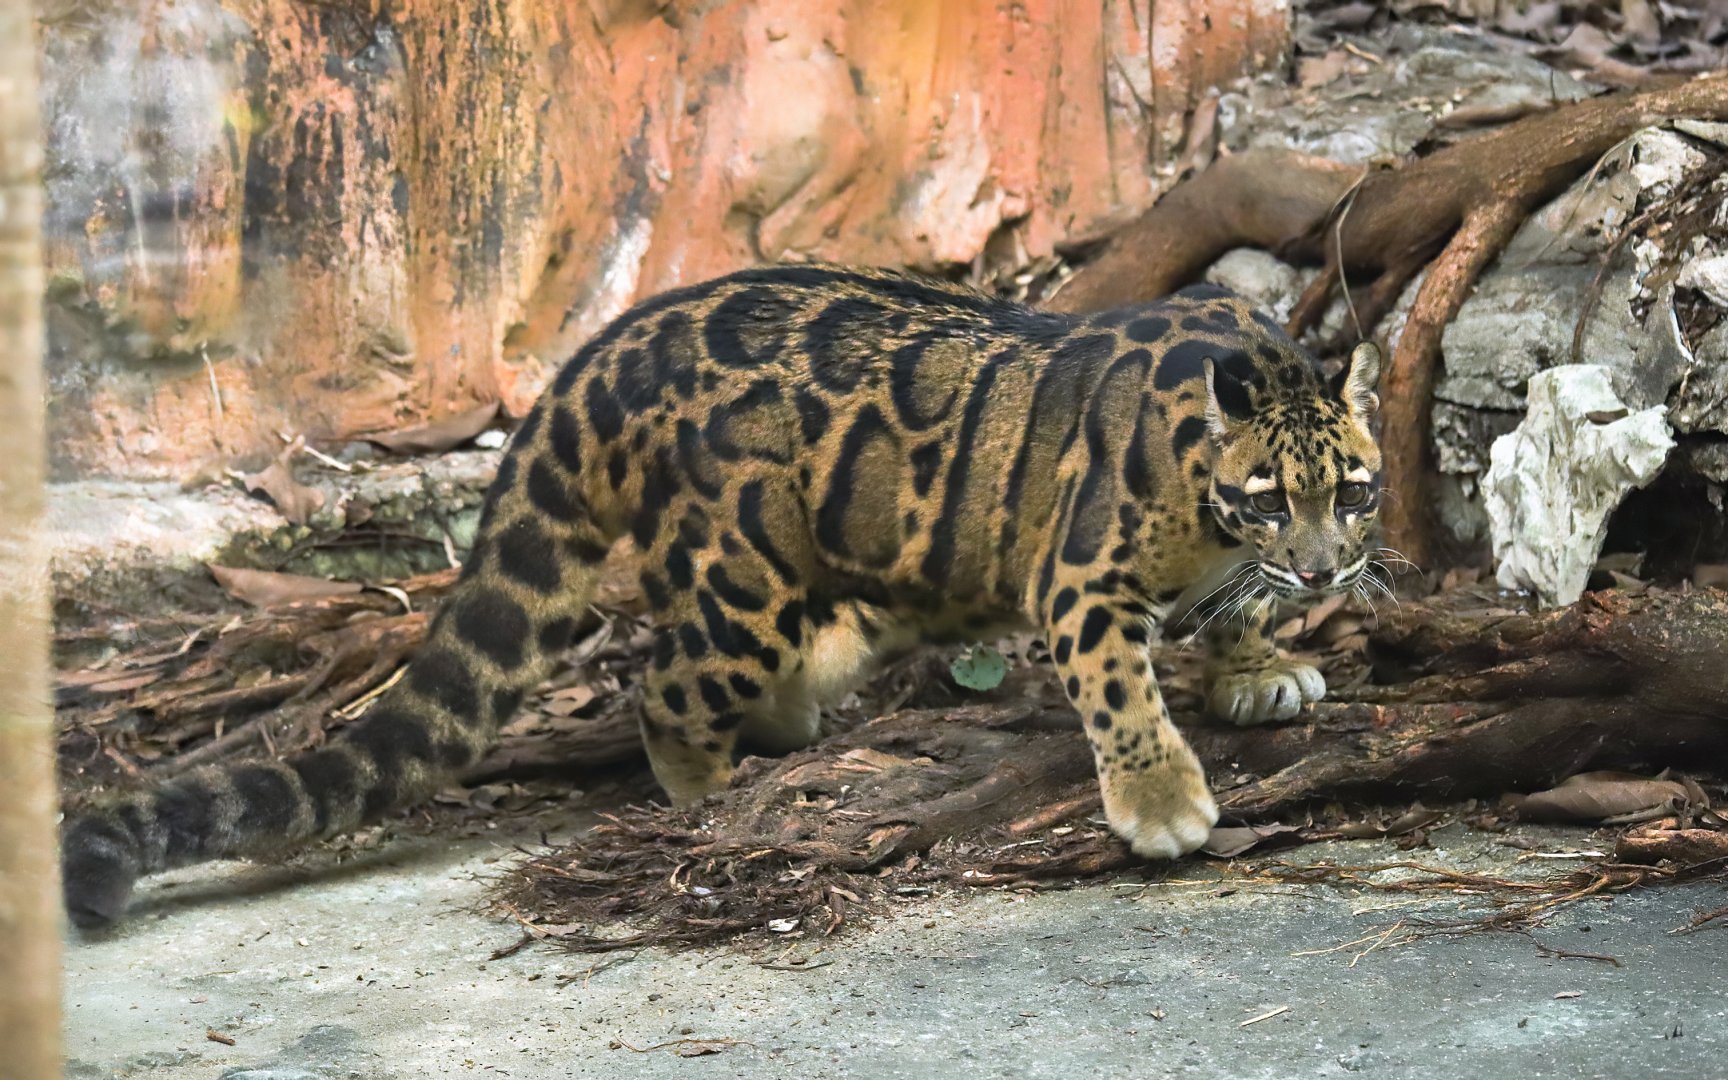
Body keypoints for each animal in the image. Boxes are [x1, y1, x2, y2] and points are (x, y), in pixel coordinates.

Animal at [60, 263, 1383, 929]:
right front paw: (1162, 800)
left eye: (1355, 492)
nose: (1329, 569)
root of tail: (590, 360)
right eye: (1272, 495)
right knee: (664, 686)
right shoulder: (1081, 580)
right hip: (741, 573)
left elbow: (1235, 611)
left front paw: (1261, 666)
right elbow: (1122, 690)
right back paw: (714, 792)